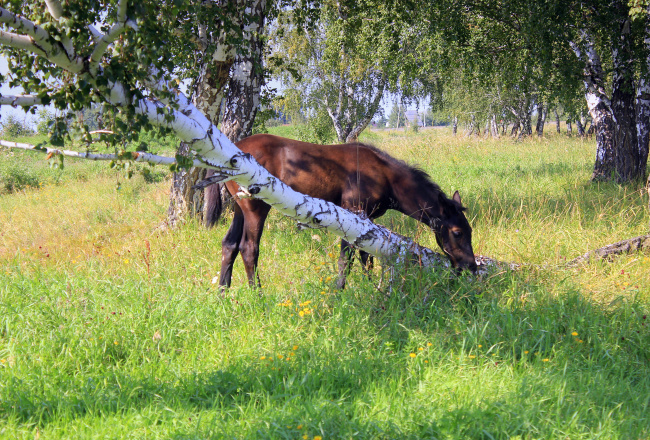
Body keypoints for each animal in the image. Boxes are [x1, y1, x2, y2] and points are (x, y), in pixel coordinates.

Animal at [218, 132, 476, 288]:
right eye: (457, 232)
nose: (470, 267)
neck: (385, 176)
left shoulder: (366, 219)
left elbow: (366, 258)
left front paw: (371, 287)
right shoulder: (352, 213)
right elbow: (347, 259)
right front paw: (339, 292)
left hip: (239, 208)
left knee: (229, 244)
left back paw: (223, 294)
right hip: (255, 208)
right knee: (249, 248)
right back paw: (258, 295)